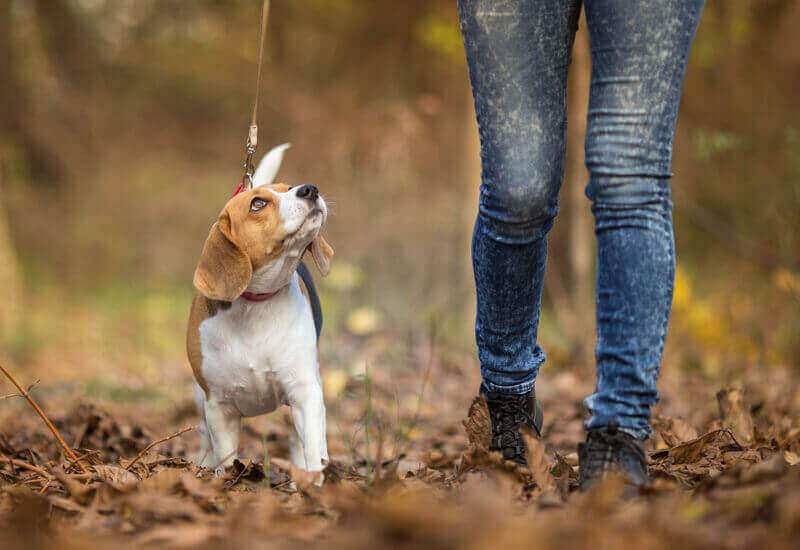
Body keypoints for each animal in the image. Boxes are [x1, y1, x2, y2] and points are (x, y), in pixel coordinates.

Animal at [186, 144, 332, 476]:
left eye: (288, 187)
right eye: (258, 204)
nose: (310, 189)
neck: (256, 304)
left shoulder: (304, 391)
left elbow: (311, 448)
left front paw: (313, 482)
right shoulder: (219, 407)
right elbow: (226, 459)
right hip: (200, 399)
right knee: (204, 437)